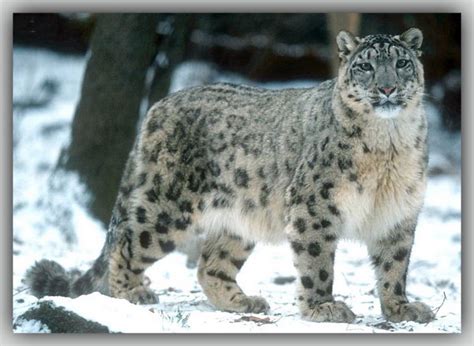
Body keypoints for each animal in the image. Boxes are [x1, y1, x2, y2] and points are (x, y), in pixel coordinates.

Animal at [25, 28, 434, 324]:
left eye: (401, 62)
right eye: (365, 67)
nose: (387, 87)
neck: (388, 144)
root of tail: (159, 105)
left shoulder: (400, 212)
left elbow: (395, 265)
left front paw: (401, 308)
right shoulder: (315, 206)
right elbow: (317, 262)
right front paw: (323, 307)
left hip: (238, 221)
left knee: (211, 265)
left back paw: (243, 301)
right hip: (165, 208)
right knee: (127, 245)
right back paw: (132, 292)